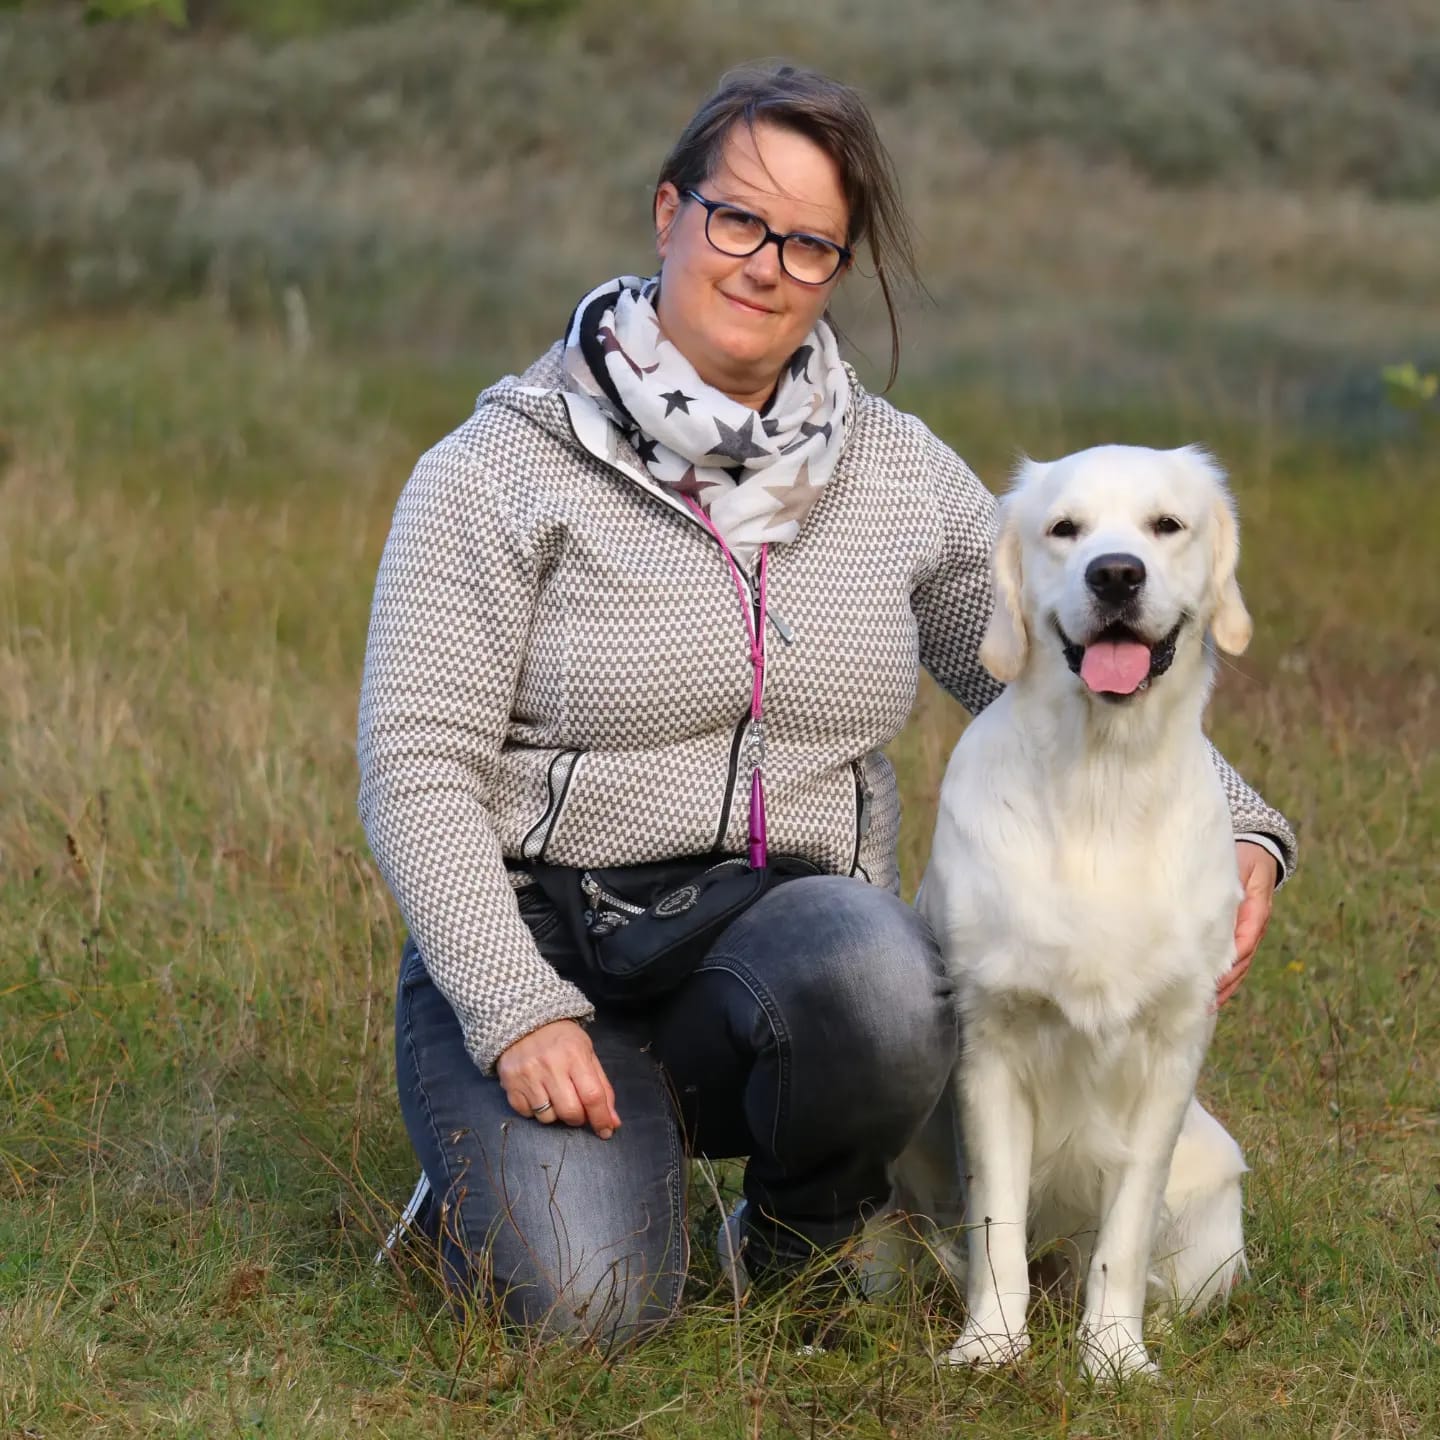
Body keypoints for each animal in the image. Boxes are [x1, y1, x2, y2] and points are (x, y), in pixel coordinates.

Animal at [904, 443, 1255, 1376]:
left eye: (1166, 525)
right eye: (1064, 529)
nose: (1117, 574)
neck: (1102, 780)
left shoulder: (1174, 1045)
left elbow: (1123, 1234)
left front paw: (1114, 1356)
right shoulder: (990, 1038)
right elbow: (996, 1223)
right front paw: (991, 1345)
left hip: (1215, 1205)